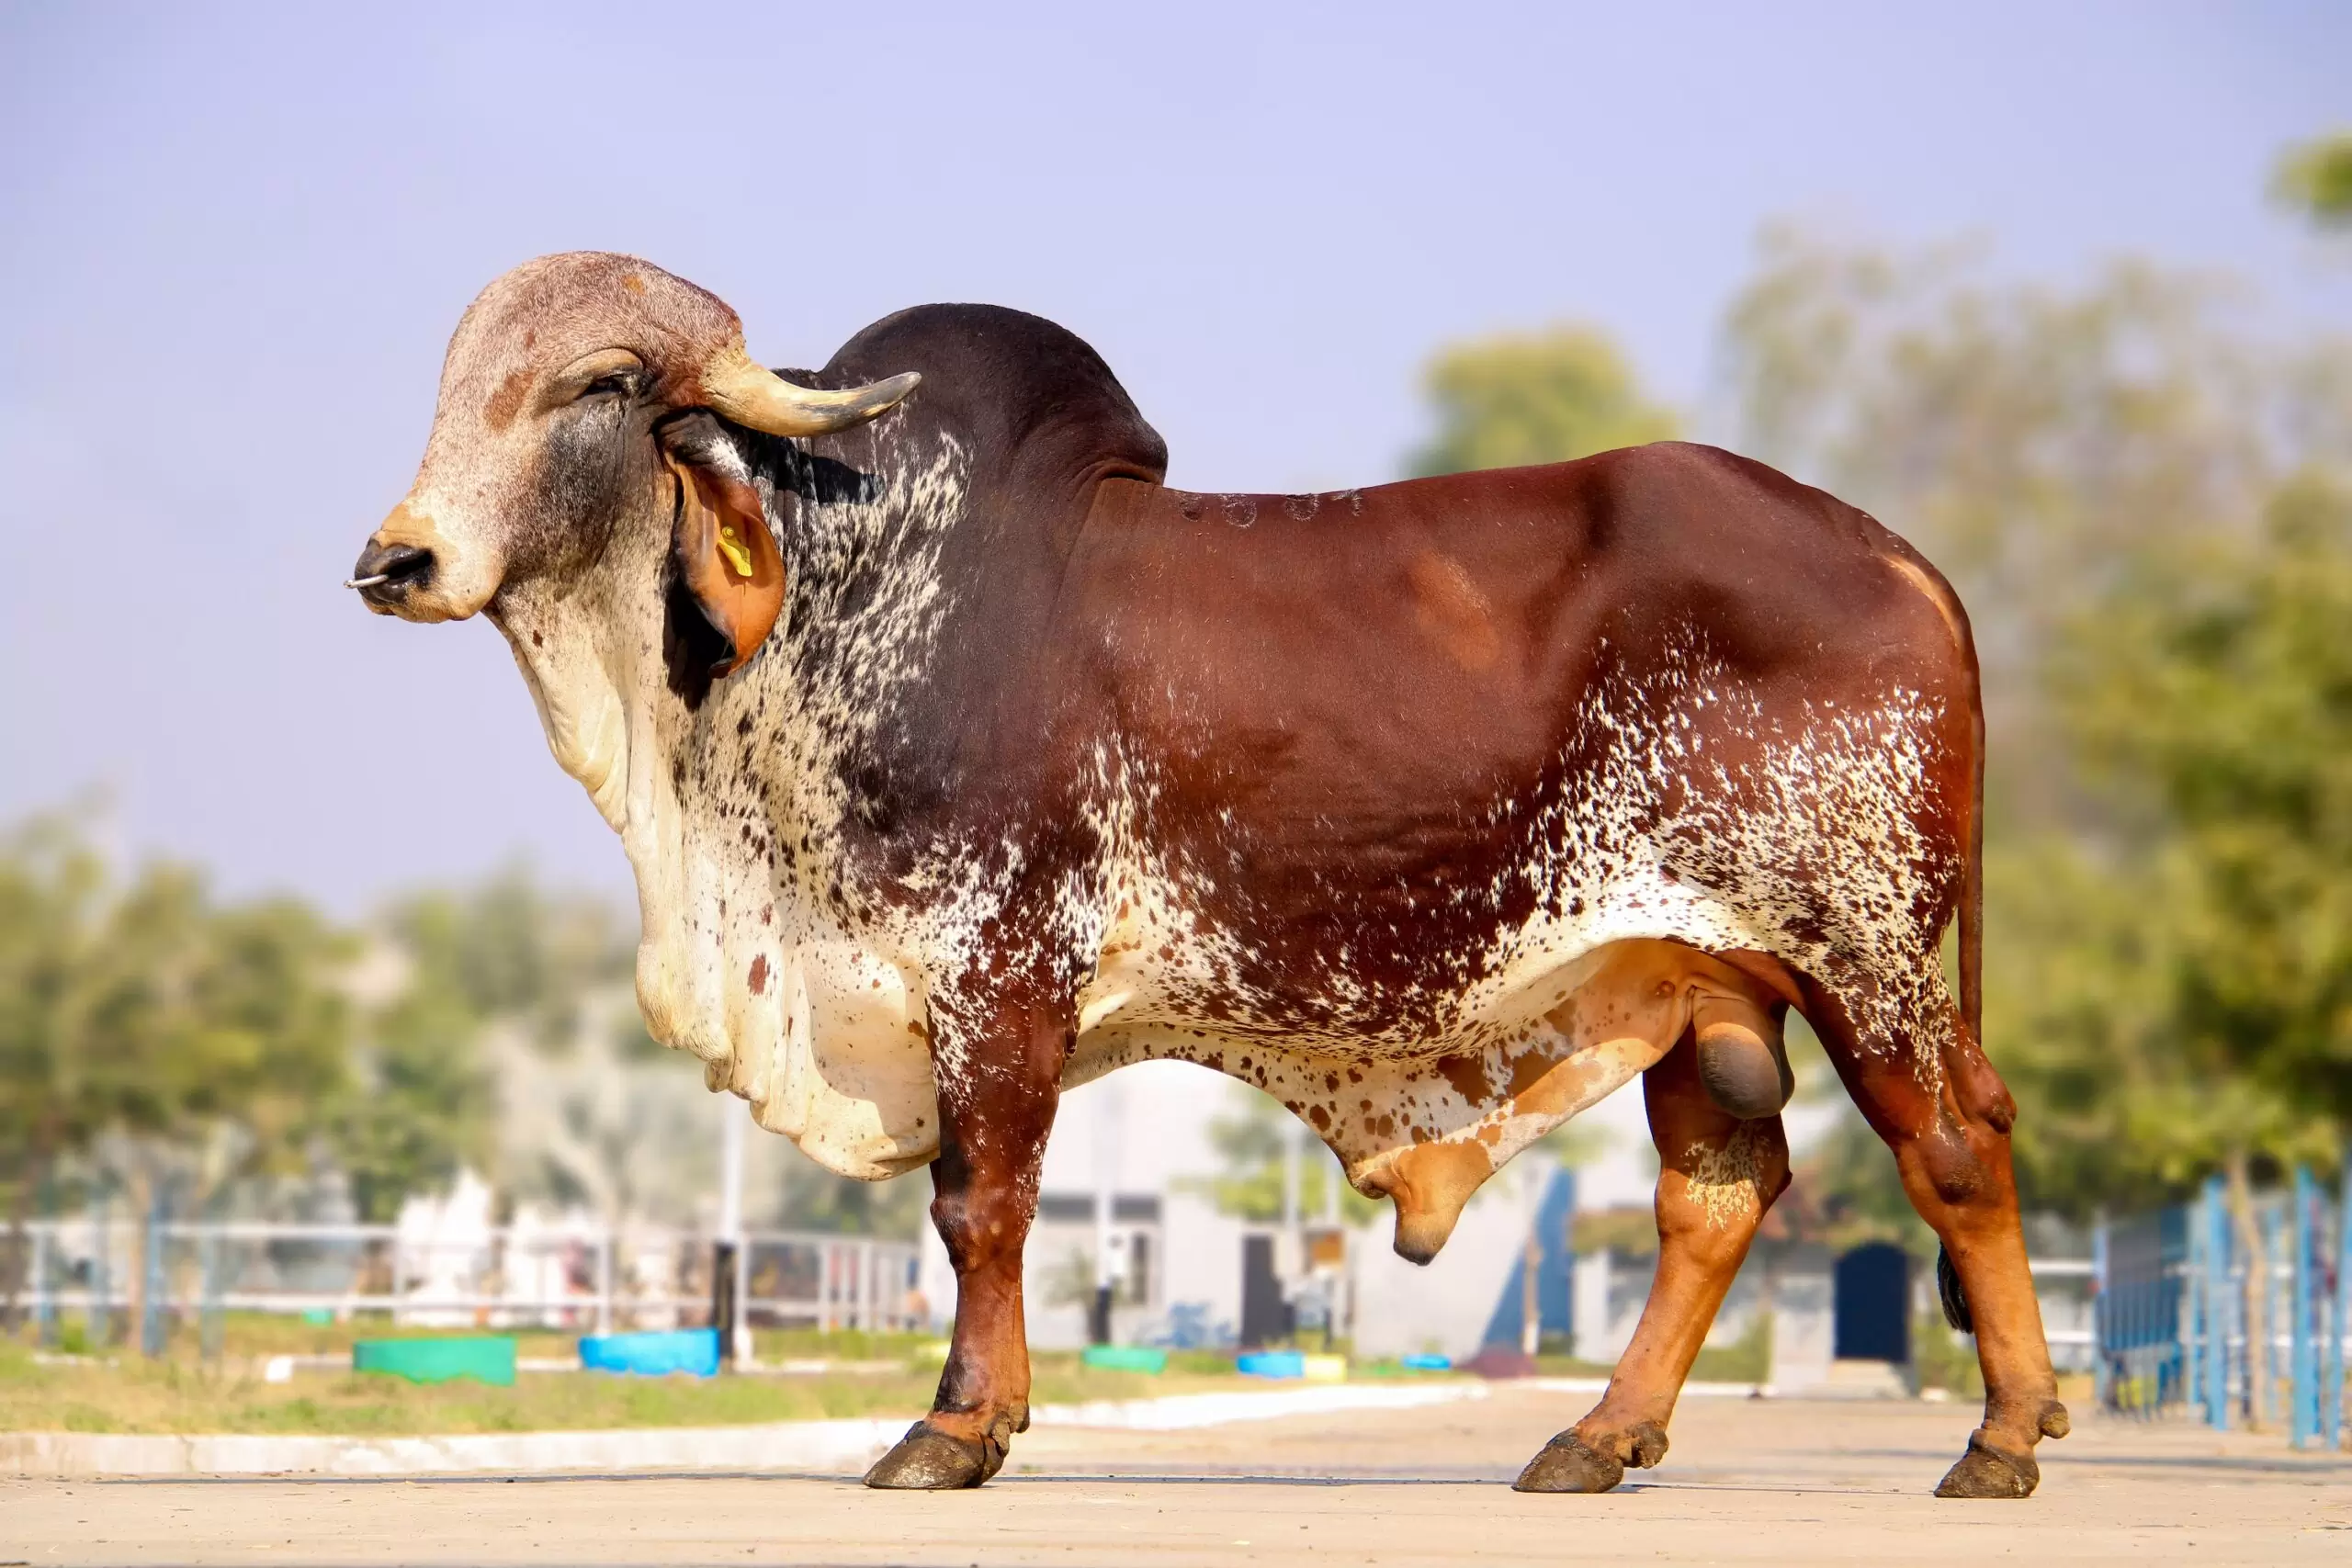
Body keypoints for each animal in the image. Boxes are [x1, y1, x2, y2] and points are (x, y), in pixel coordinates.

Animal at [351, 252, 2065, 1499]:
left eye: (599, 385)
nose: (397, 558)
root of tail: (1890, 552)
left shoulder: (998, 963)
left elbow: (982, 1205)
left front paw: (956, 1429)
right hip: (1697, 976)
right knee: (1716, 1190)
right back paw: (1596, 1438)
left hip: (1861, 950)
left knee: (1956, 1146)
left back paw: (2000, 1436)